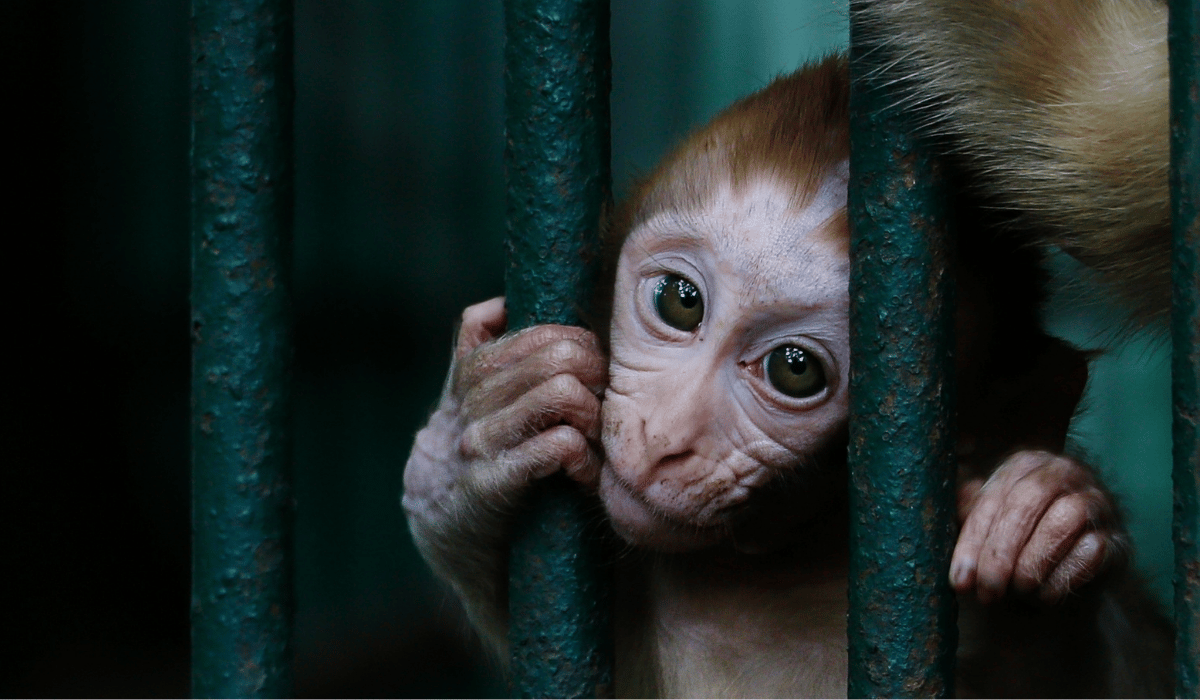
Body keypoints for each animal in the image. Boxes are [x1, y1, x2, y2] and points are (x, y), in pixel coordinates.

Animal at [402, 57, 1173, 697]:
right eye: (680, 302)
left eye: (794, 370)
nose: (664, 438)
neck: (779, 567)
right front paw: (474, 438)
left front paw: (1052, 526)